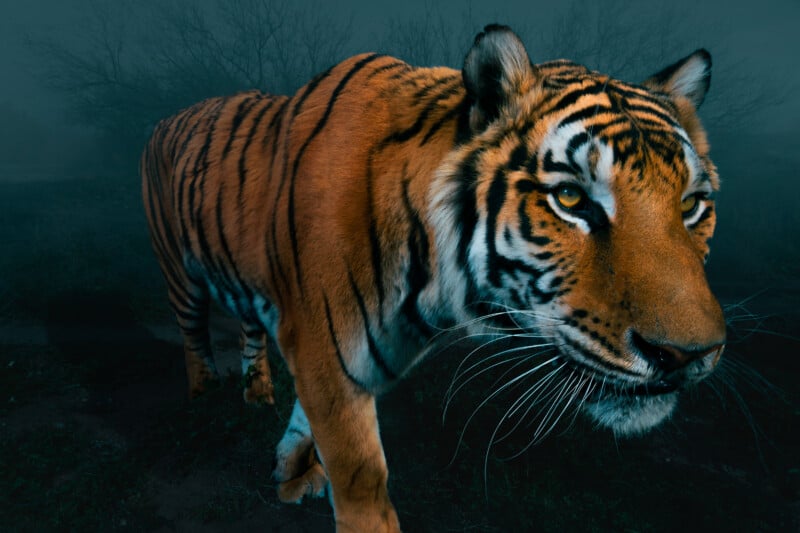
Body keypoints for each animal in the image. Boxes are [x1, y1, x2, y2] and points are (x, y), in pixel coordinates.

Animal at [140, 24, 726, 532]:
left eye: (691, 205)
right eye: (570, 198)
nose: (687, 355)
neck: (431, 291)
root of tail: (168, 118)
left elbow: (305, 420)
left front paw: (290, 471)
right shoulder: (325, 353)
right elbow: (360, 479)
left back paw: (255, 396)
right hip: (178, 272)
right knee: (192, 334)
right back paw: (205, 397)